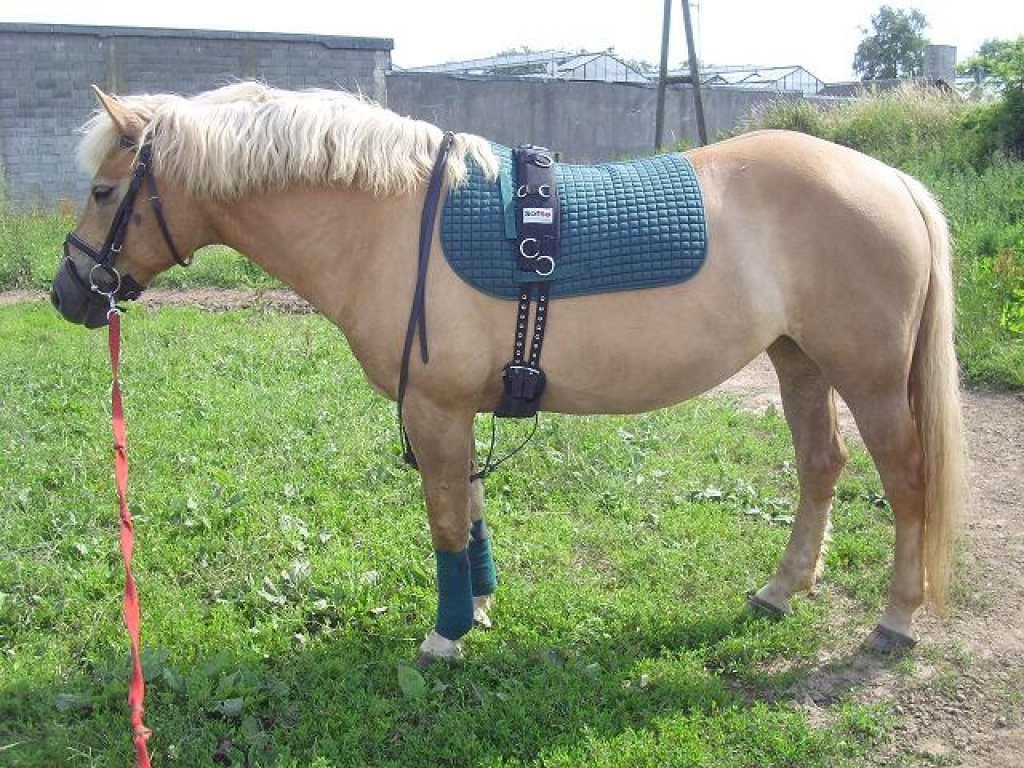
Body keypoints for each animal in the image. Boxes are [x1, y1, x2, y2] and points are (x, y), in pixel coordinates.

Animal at [51, 81, 967, 662]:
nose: (69, 294)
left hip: (870, 377)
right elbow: (472, 515)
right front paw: (481, 609)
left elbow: (445, 525)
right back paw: (781, 590)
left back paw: (895, 622)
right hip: (800, 361)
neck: (389, 224)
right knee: (821, 467)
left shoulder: (434, 412)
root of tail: (892, 180)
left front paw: (445, 637)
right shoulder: (452, 411)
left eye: (103, 192)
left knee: (907, 481)